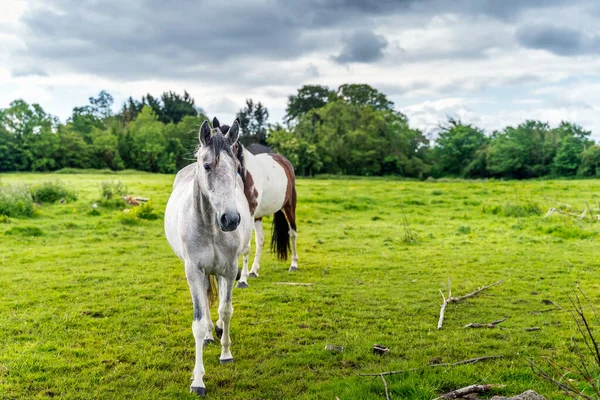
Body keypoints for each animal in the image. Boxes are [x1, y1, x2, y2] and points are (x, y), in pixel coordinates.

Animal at [163, 119, 252, 396]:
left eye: (236, 168)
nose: (231, 219)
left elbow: (226, 310)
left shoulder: (230, 269)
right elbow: (199, 322)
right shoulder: (193, 271)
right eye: (207, 166)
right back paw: (211, 336)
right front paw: (198, 381)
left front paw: (226, 354)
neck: (211, 227)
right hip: (200, 274)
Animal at [211, 117, 300, 290]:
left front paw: (242, 280)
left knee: (292, 233)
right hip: (258, 217)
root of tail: (284, 162)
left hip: (288, 207)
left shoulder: (246, 215)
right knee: (261, 240)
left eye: (232, 143)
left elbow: (245, 247)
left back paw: (293, 264)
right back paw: (254, 270)